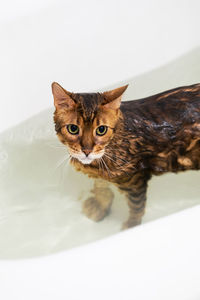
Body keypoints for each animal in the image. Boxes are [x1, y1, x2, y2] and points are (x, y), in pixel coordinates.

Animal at [52, 81, 200, 227]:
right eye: (73, 129)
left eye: (101, 130)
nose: (87, 151)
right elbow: (100, 185)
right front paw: (100, 205)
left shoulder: (135, 180)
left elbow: (136, 207)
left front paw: (131, 225)